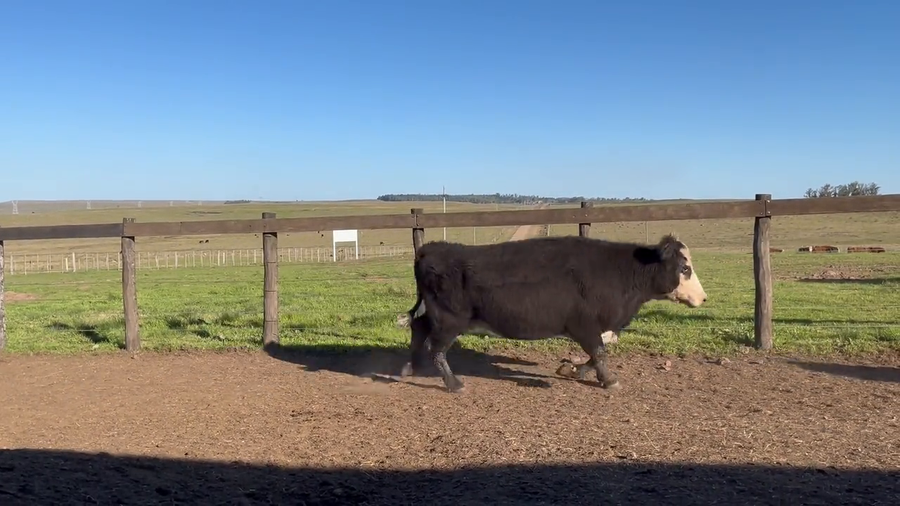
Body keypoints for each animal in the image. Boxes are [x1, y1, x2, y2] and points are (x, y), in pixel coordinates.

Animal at [399, 233, 707, 393]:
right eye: (685, 268)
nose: (703, 298)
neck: (620, 272)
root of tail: (430, 250)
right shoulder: (584, 325)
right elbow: (599, 352)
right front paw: (608, 380)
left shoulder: (595, 327)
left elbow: (598, 351)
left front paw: (572, 368)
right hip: (449, 320)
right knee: (436, 348)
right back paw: (452, 382)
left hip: (435, 316)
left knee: (418, 329)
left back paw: (409, 367)